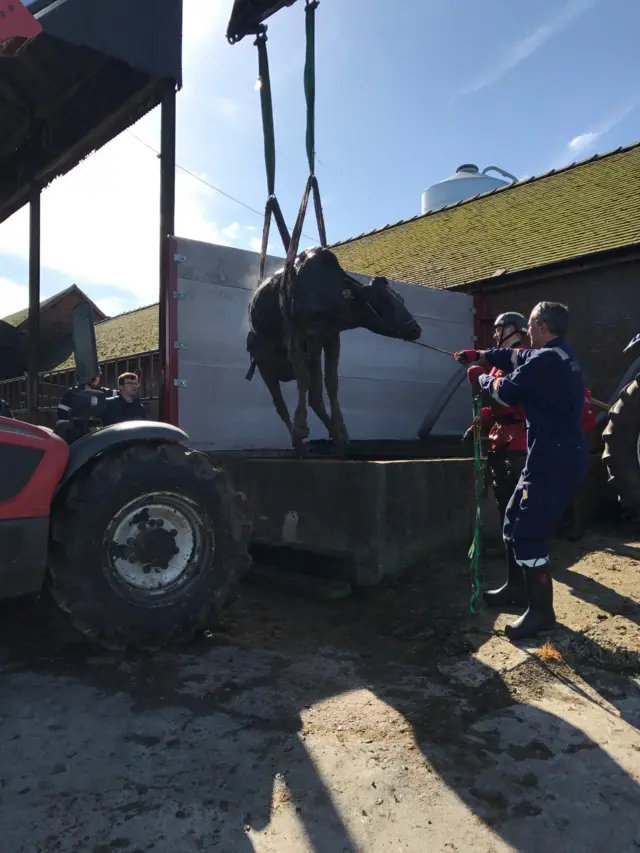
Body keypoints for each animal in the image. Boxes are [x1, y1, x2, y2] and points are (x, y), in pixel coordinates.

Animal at [248, 245, 422, 452]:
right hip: (264, 364)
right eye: (380, 300)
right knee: (280, 404)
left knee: (315, 396)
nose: (415, 329)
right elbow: (303, 381)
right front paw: (301, 429)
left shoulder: (331, 336)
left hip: (312, 353)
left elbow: (332, 383)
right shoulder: (297, 334)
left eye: (401, 299)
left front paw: (340, 431)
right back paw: (299, 443)